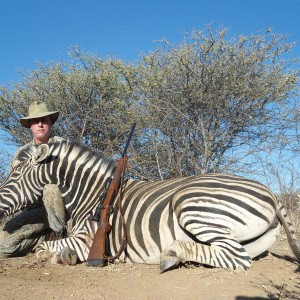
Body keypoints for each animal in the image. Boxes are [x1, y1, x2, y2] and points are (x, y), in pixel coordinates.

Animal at [0, 141, 298, 272]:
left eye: (14, 173)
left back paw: (172, 253)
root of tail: (271, 193)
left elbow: (42, 247)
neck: (92, 193)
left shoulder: (87, 240)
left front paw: (62, 256)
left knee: (236, 257)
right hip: (254, 239)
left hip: (190, 204)